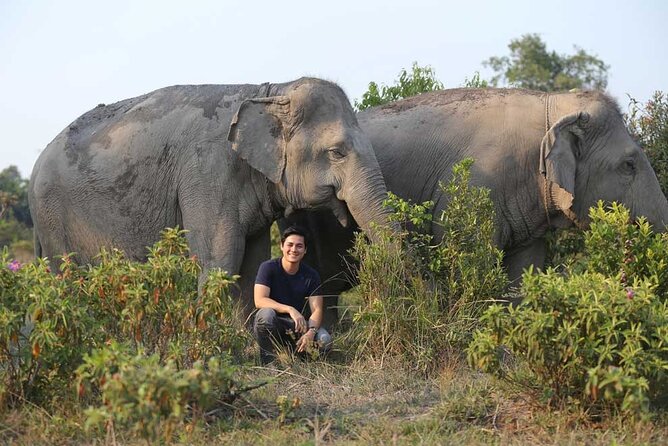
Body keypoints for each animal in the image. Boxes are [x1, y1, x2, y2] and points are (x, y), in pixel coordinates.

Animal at [28, 77, 392, 312]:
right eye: (337, 152)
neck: (269, 93)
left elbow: (252, 264)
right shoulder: (207, 171)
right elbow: (220, 259)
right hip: (52, 217)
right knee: (69, 279)